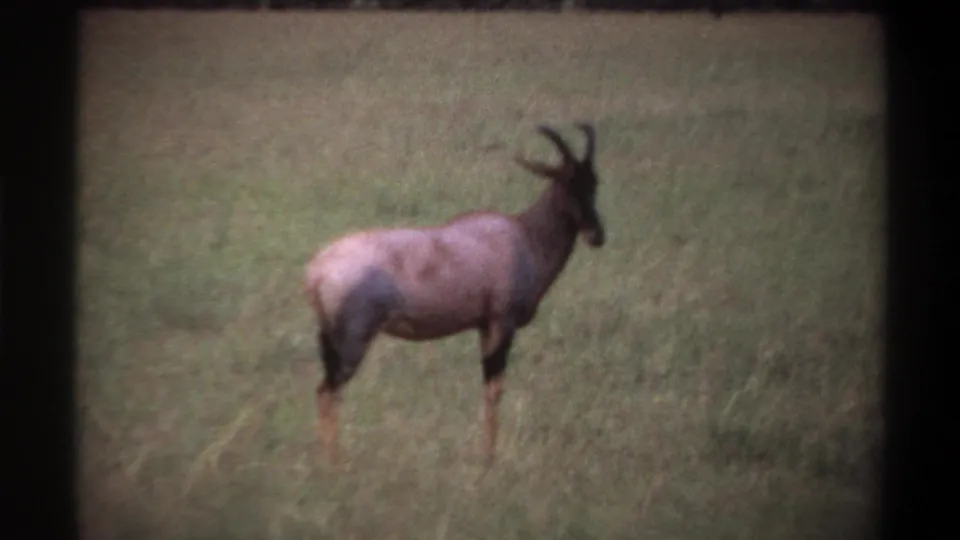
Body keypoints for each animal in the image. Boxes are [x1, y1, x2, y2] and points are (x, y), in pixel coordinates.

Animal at [304, 123, 606, 464]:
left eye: (594, 182)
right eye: (567, 183)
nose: (597, 235)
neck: (522, 236)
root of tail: (316, 271)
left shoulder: (484, 326)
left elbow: (489, 387)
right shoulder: (502, 323)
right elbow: (494, 388)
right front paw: (489, 460)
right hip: (355, 340)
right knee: (328, 392)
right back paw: (334, 464)